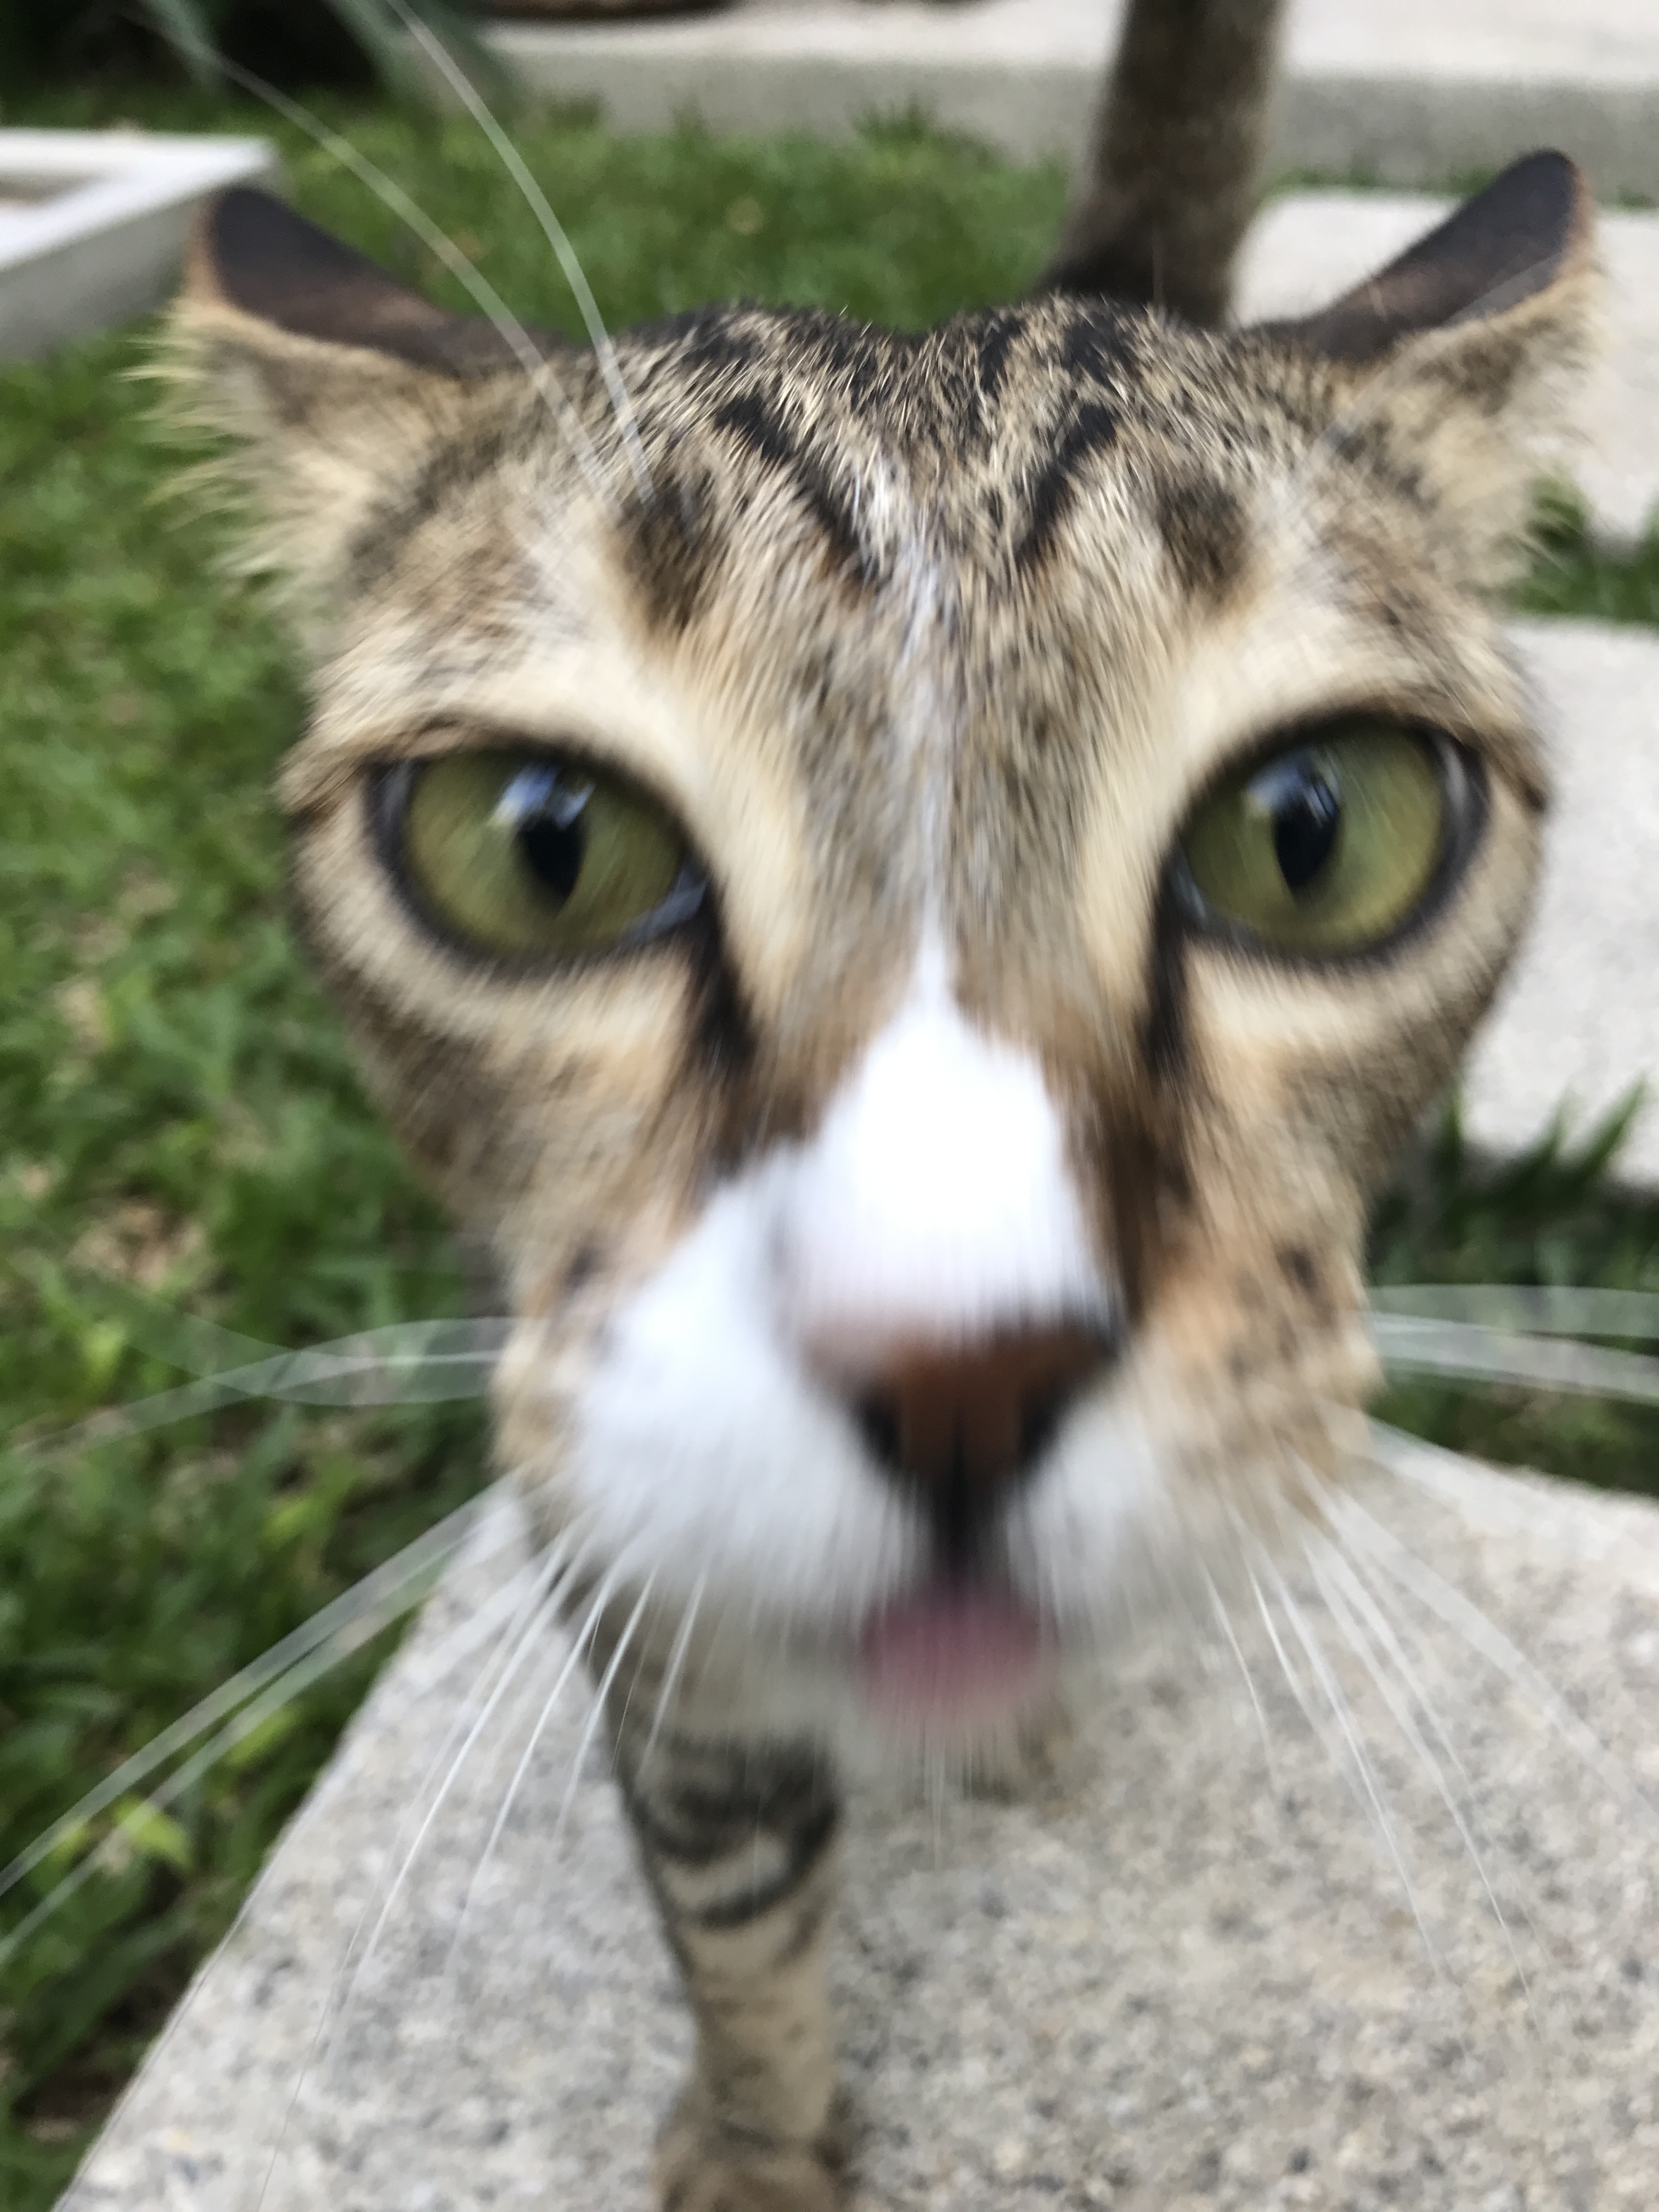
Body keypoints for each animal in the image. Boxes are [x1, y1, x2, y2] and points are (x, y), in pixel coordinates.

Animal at [163, 0, 1598, 2200]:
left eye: (1313, 832)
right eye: (540, 846)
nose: (959, 1370)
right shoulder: (626, 1522)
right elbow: (728, 1877)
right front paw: (762, 2131)